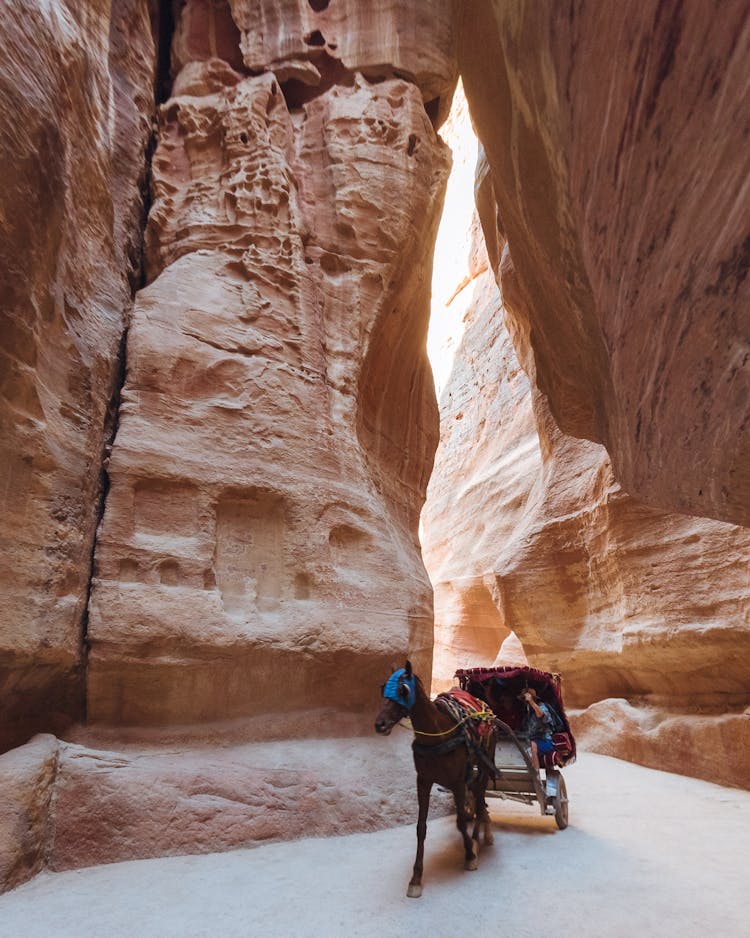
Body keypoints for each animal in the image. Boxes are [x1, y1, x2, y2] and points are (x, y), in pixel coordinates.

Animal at [374, 656, 496, 896]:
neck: (436, 734)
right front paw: (416, 878)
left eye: (403, 690)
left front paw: (469, 855)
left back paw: (478, 837)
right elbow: (421, 828)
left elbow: (460, 821)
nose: (379, 724)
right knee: (477, 796)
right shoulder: (423, 781)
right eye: (383, 688)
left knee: (479, 796)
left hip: (486, 761)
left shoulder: (457, 782)